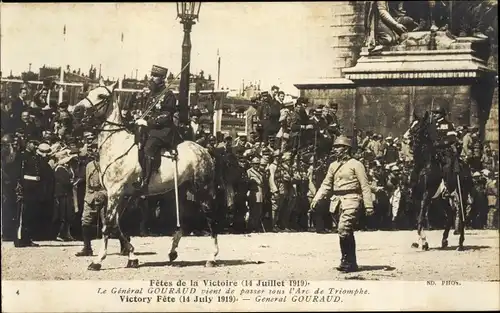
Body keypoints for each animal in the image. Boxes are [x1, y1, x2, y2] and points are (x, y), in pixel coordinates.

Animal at [72, 79, 219, 270]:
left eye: (101, 96)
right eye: (89, 92)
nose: (76, 110)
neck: (117, 145)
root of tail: (204, 150)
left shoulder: (116, 193)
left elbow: (108, 225)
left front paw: (97, 261)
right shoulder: (121, 196)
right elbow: (117, 225)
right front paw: (132, 256)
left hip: (203, 190)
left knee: (211, 218)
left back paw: (212, 257)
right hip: (181, 191)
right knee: (185, 219)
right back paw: (173, 251)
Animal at [406, 111, 472, 250]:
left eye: (419, 126)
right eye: (411, 124)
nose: (406, 138)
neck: (424, 165)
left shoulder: (426, 194)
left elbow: (420, 218)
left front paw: (422, 241)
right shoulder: (416, 197)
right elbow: (419, 217)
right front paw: (421, 241)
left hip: (461, 194)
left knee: (461, 214)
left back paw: (460, 243)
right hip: (441, 200)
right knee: (450, 214)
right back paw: (444, 239)